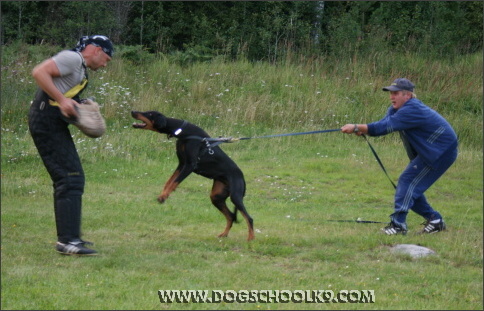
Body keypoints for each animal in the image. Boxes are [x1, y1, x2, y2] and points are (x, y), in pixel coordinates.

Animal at [130, 111, 255, 243]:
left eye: (148, 114)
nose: (132, 111)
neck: (182, 131)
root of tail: (241, 176)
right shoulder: (181, 163)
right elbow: (170, 181)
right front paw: (163, 195)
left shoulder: (190, 165)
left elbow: (175, 182)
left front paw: (163, 197)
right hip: (216, 197)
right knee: (231, 216)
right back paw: (223, 234)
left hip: (235, 196)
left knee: (249, 218)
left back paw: (251, 238)